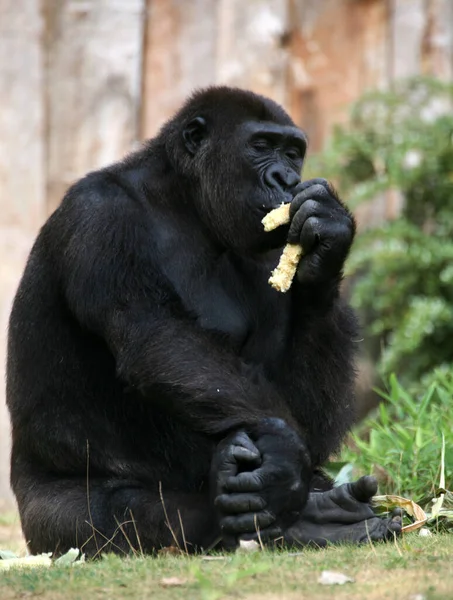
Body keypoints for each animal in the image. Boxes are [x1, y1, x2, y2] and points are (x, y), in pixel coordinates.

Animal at [6, 86, 400, 556]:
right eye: (261, 146)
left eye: (293, 153)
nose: (286, 180)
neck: (183, 201)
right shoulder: (99, 215)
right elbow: (155, 336)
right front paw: (283, 460)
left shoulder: (265, 249)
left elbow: (304, 413)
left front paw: (328, 241)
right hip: (38, 522)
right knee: (108, 516)